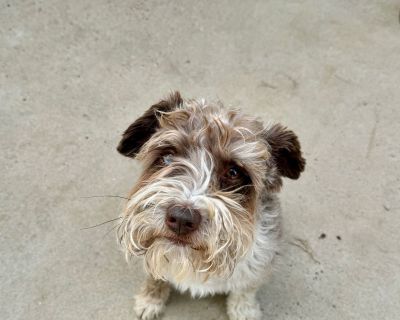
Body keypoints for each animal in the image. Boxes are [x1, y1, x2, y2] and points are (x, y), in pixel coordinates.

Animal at [117, 91, 304, 318]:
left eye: (233, 172)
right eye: (168, 156)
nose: (181, 218)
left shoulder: (259, 266)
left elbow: (245, 289)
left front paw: (243, 309)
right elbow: (155, 276)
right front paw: (150, 299)